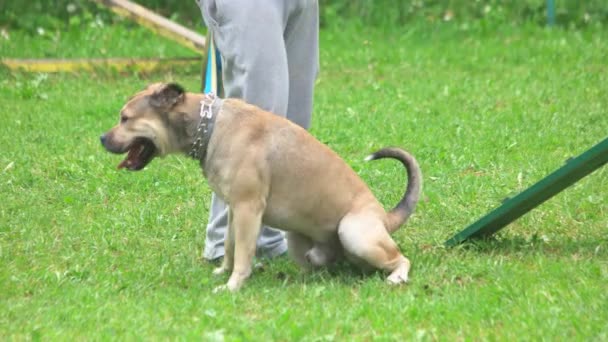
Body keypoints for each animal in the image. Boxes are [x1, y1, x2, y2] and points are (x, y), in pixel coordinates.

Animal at [101, 83, 422, 292]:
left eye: (125, 118)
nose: (102, 138)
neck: (209, 125)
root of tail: (385, 218)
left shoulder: (248, 208)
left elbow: (244, 252)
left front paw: (233, 285)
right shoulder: (234, 209)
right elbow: (230, 245)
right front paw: (223, 271)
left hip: (354, 232)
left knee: (401, 259)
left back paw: (396, 277)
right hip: (299, 240)